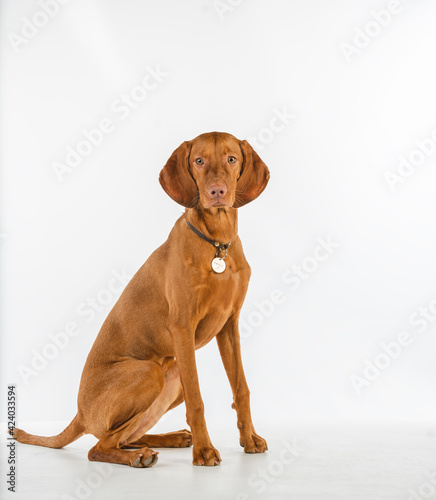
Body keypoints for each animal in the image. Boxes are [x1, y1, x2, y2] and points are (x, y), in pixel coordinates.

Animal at [11, 131, 270, 466]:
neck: (217, 245)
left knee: (125, 437)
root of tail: (80, 415)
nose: (217, 192)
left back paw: (170, 439)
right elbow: (198, 400)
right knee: (100, 446)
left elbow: (241, 388)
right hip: (151, 370)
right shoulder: (182, 328)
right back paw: (144, 456)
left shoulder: (229, 326)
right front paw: (204, 451)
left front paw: (249, 439)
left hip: (172, 371)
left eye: (232, 158)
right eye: (199, 160)